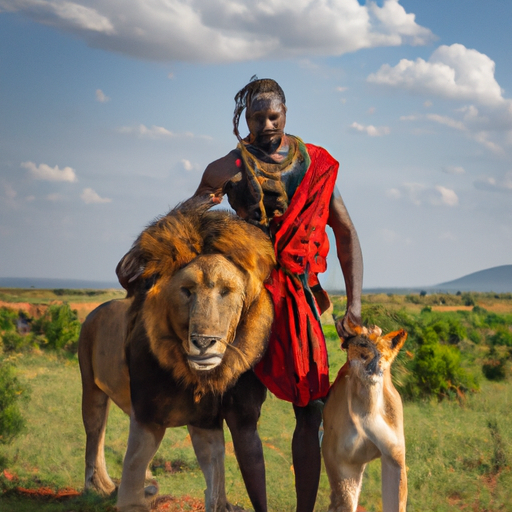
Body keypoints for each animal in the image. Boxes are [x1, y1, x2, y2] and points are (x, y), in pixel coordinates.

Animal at [77, 197, 274, 512]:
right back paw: (98, 487)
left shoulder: (205, 422)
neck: (191, 376)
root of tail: (94, 311)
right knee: (95, 433)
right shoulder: (147, 416)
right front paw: (130, 498)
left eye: (226, 291)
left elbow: (216, 475)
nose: (204, 341)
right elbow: (132, 468)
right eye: (187, 291)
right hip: (91, 386)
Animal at [324, 324, 408, 512]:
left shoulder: (395, 457)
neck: (367, 410)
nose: (371, 364)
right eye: (361, 346)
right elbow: (345, 503)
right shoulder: (342, 463)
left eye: (381, 351)